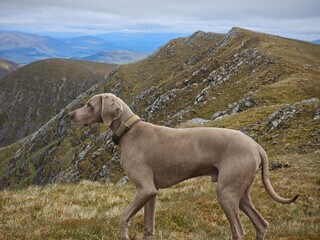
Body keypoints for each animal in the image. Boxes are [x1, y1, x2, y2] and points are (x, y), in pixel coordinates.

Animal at [69, 93, 298, 240]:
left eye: (89, 105)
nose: (70, 115)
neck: (129, 130)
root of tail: (255, 145)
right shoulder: (151, 193)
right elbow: (148, 228)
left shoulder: (144, 189)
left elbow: (123, 218)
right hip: (240, 193)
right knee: (261, 224)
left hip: (226, 192)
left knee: (239, 231)